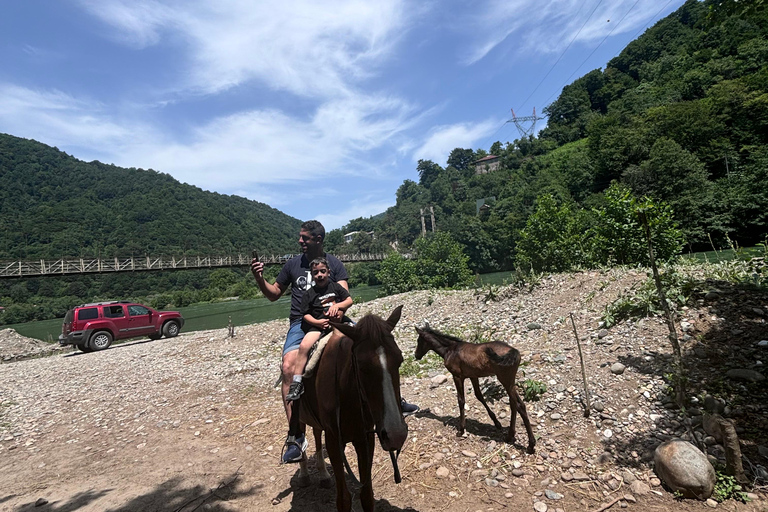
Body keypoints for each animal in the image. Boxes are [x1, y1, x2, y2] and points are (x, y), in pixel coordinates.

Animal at [294, 306, 408, 510]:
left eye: (400, 360)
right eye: (362, 366)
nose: (396, 434)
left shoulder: (364, 438)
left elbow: (367, 495)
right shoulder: (333, 440)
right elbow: (344, 499)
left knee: (316, 433)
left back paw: (323, 475)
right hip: (298, 415)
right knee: (301, 435)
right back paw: (304, 473)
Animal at [414, 326, 536, 454]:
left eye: (418, 341)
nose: (416, 355)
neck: (450, 350)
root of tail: (514, 351)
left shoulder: (457, 376)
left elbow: (461, 400)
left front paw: (461, 429)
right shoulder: (473, 376)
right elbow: (479, 396)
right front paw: (496, 422)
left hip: (505, 380)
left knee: (519, 405)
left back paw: (530, 445)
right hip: (510, 382)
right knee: (515, 404)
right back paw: (510, 436)